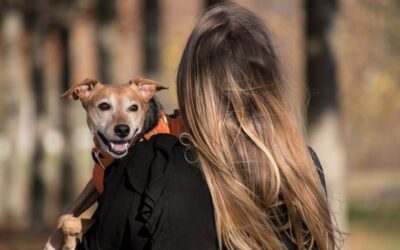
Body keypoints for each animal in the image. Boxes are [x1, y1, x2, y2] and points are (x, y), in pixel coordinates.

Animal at [43, 77, 169, 249]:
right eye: (104, 106)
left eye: (134, 107)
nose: (122, 129)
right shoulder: (94, 183)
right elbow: (65, 215)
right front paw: (53, 242)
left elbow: (70, 222)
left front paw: (70, 242)